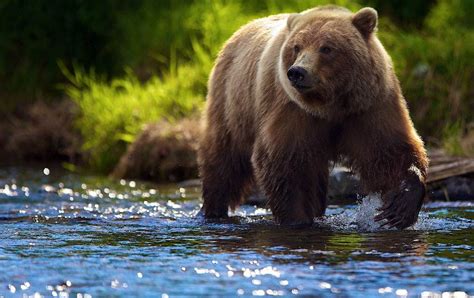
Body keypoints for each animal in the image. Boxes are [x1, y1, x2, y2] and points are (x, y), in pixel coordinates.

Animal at [198, 5, 428, 229]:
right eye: (297, 47)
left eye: (326, 48)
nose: (297, 72)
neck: (331, 105)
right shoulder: (293, 110)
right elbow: (286, 163)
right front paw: (297, 219)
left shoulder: (369, 106)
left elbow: (390, 150)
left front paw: (400, 206)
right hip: (232, 105)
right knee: (224, 160)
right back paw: (214, 210)